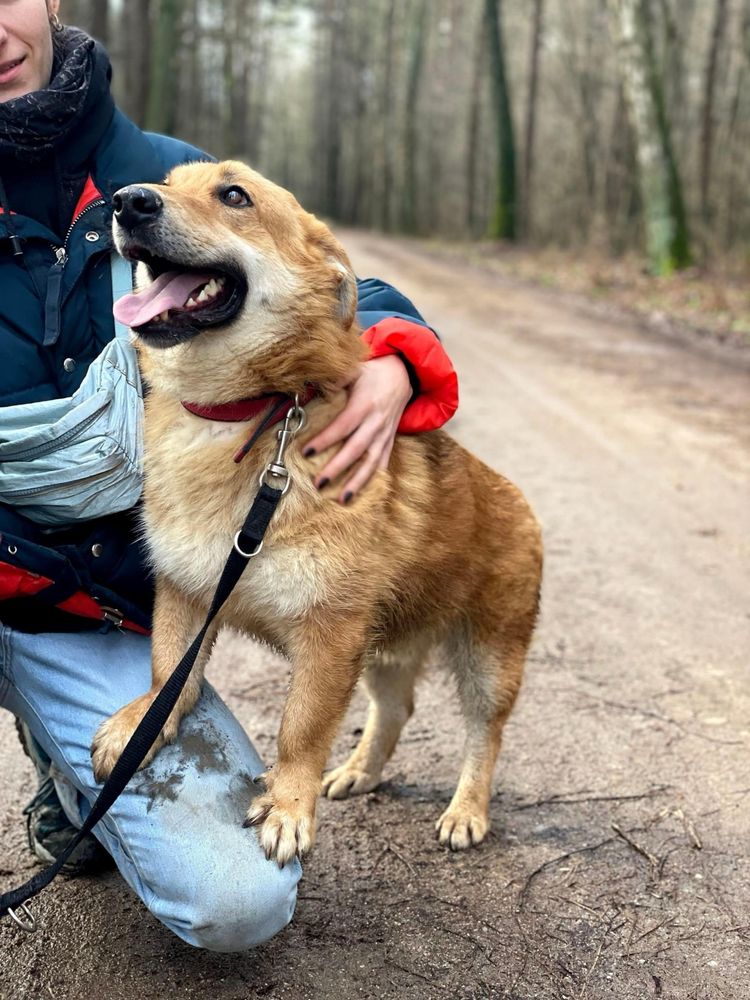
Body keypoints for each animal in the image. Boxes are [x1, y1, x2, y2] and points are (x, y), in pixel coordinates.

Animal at [91, 160, 544, 864]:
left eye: (234, 195)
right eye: (166, 181)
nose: (126, 201)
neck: (248, 414)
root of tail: (517, 498)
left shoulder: (330, 634)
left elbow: (300, 728)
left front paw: (288, 806)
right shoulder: (187, 592)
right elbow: (169, 672)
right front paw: (144, 722)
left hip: (487, 660)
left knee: (484, 734)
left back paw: (467, 810)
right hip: (385, 649)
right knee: (396, 710)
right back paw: (359, 770)